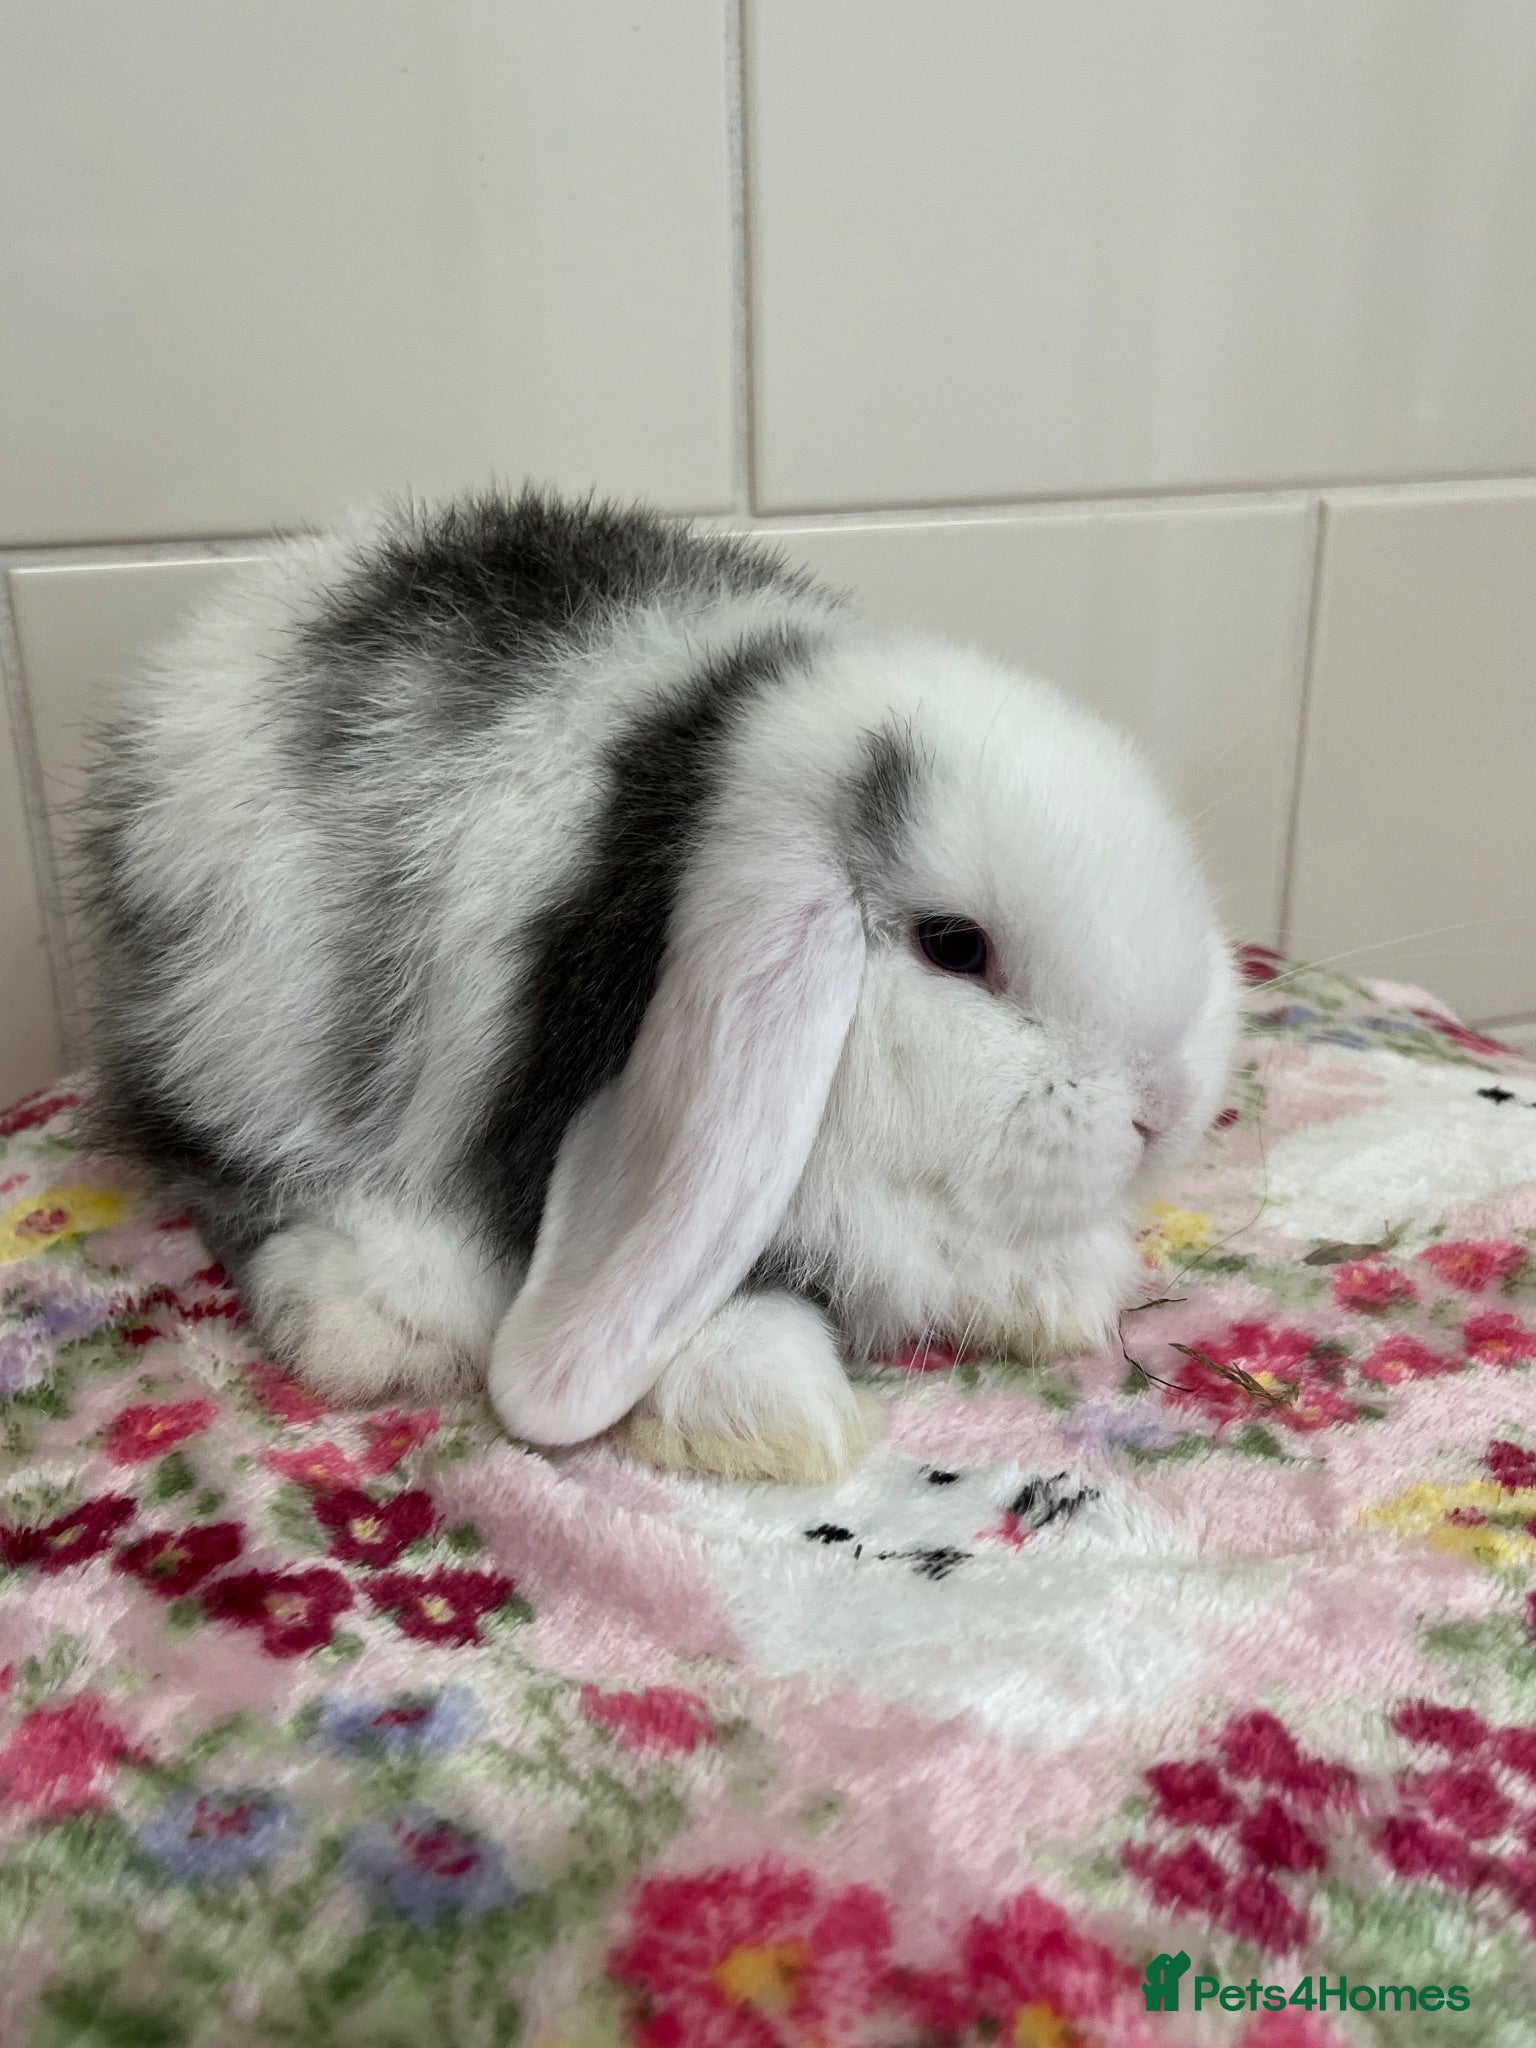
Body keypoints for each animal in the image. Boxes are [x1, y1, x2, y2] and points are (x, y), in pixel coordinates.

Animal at [81, 487, 1238, 1485]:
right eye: (954, 945)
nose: (1166, 1108)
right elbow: (709, 1283)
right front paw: (774, 1422)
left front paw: (1059, 1290)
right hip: (238, 1025)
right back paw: (379, 1321)